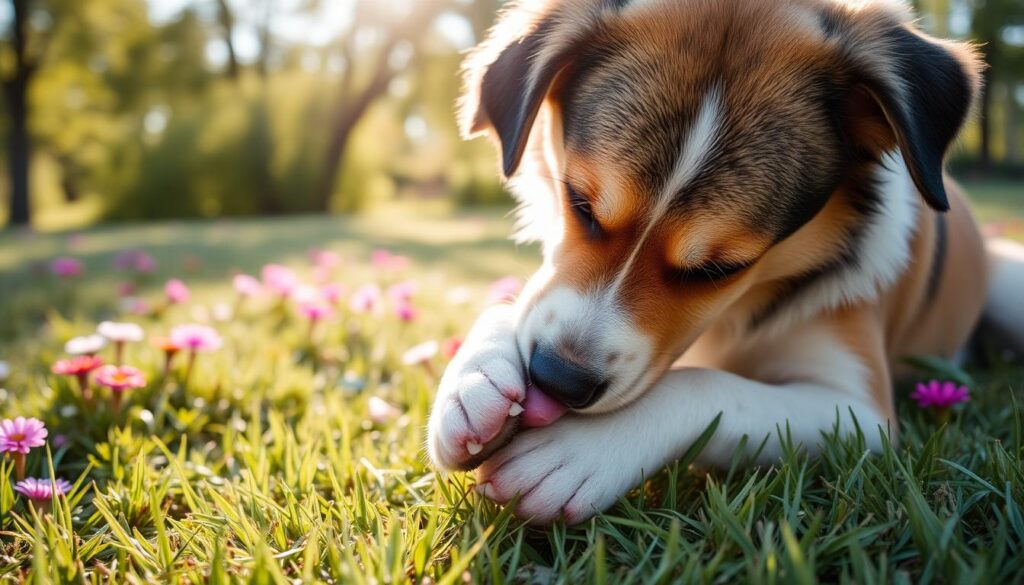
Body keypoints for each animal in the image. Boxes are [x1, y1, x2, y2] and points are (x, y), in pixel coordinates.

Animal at [423, 0, 1024, 524]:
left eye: (719, 270)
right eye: (579, 203)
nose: (557, 380)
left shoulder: (858, 415)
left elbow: (707, 386)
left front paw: (582, 451)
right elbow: (517, 305)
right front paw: (475, 378)